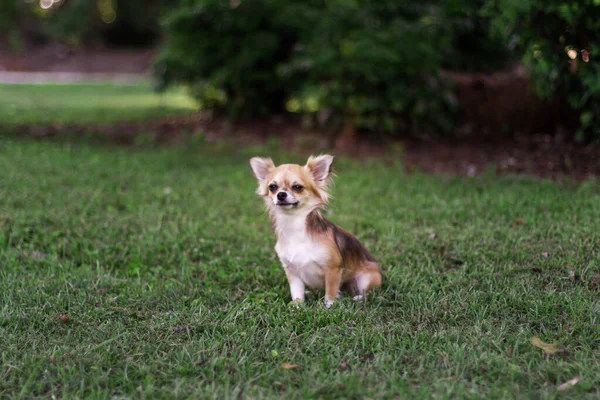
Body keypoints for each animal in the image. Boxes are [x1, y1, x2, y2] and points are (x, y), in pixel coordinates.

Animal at [250, 154, 382, 306]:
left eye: (297, 187)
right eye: (272, 187)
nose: (281, 194)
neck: (293, 224)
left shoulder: (333, 269)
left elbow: (330, 292)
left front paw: (328, 306)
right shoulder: (292, 271)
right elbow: (296, 291)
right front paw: (297, 305)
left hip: (366, 278)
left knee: (366, 292)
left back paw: (358, 298)